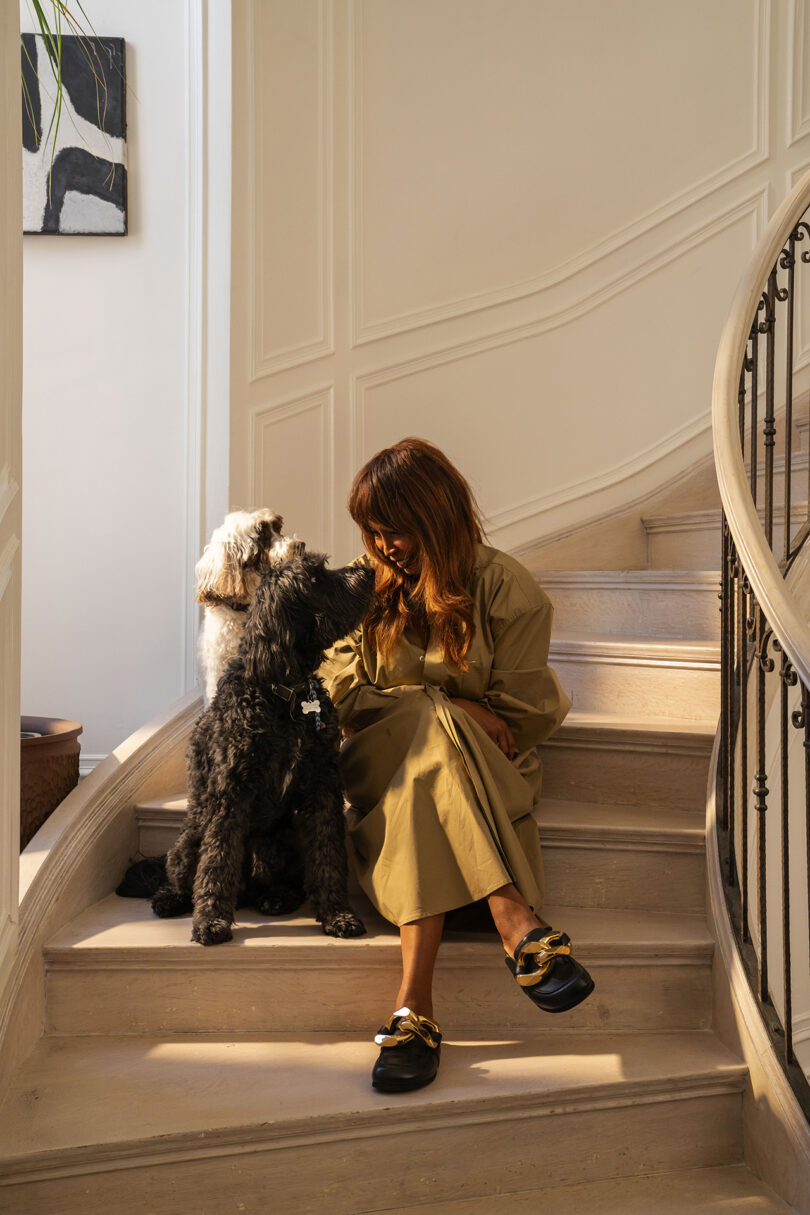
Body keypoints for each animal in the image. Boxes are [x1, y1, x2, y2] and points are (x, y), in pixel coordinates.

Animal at [150, 556, 376, 942]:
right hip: (190, 838)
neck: (284, 693)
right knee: (185, 875)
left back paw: (276, 898)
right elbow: (217, 860)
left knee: (274, 884)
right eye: (317, 576)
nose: (370, 570)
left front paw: (338, 914)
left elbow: (328, 853)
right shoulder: (230, 792)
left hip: (281, 840)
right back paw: (170, 899)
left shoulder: (323, 786)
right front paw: (210, 921)